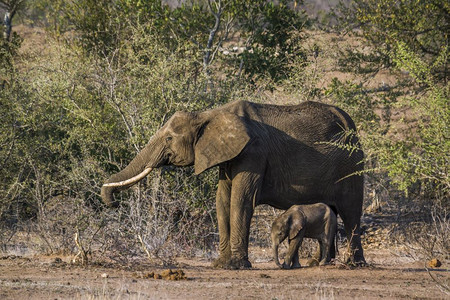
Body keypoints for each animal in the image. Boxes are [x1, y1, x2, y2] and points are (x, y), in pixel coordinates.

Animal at [102, 99, 366, 268]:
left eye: (168, 138)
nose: (113, 203)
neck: (208, 115)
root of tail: (351, 123)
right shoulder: (227, 156)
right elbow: (222, 201)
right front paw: (220, 264)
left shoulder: (253, 153)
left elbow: (240, 200)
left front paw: (237, 265)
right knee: (332, 212)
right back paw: (321, 262)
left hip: (352, 164)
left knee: (351, 211)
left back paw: (353, 265)